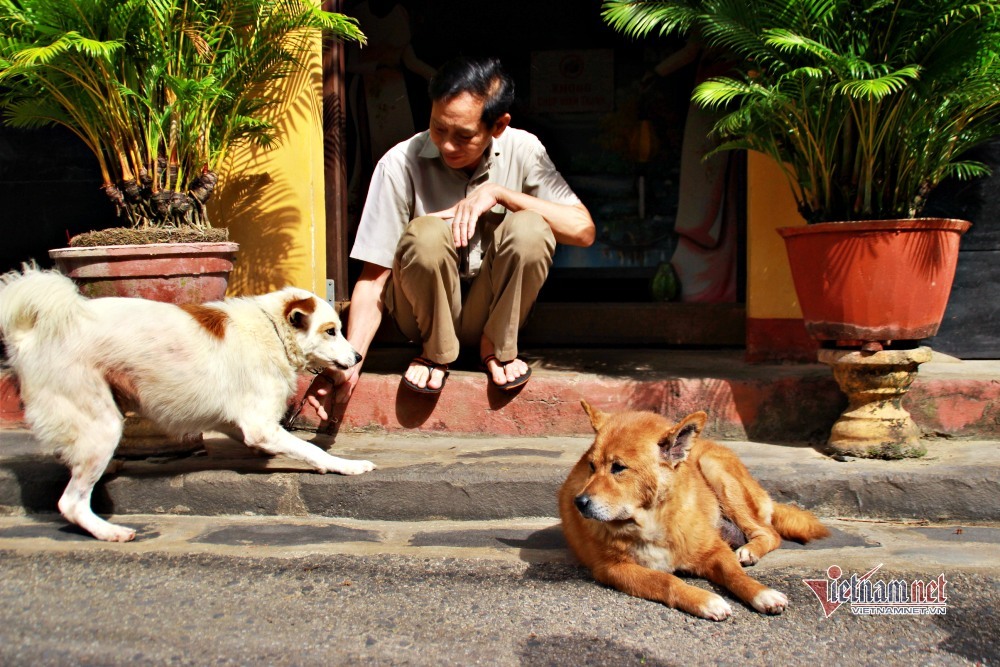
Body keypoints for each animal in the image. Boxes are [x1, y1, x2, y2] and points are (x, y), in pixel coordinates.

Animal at [0, 266, 376, 544]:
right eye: (331, 331)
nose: (359, 357)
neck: (272, 330)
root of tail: (31, 335)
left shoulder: (239, 422)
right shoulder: (260, 426)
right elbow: (311, 450)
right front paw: (345, 465)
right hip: (101, 424)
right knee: (71, 502)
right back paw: (110, 531)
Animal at [560, 402, 832, 620]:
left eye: (618, 467)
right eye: (591, 466)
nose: (579, 502)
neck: (651, 522)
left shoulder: (715, 550)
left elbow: (735, 574)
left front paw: (762, 593)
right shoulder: (613, 568)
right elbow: (667, 580)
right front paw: (705, 600)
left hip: (717, 472)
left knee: (768, 532)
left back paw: (749, 550)